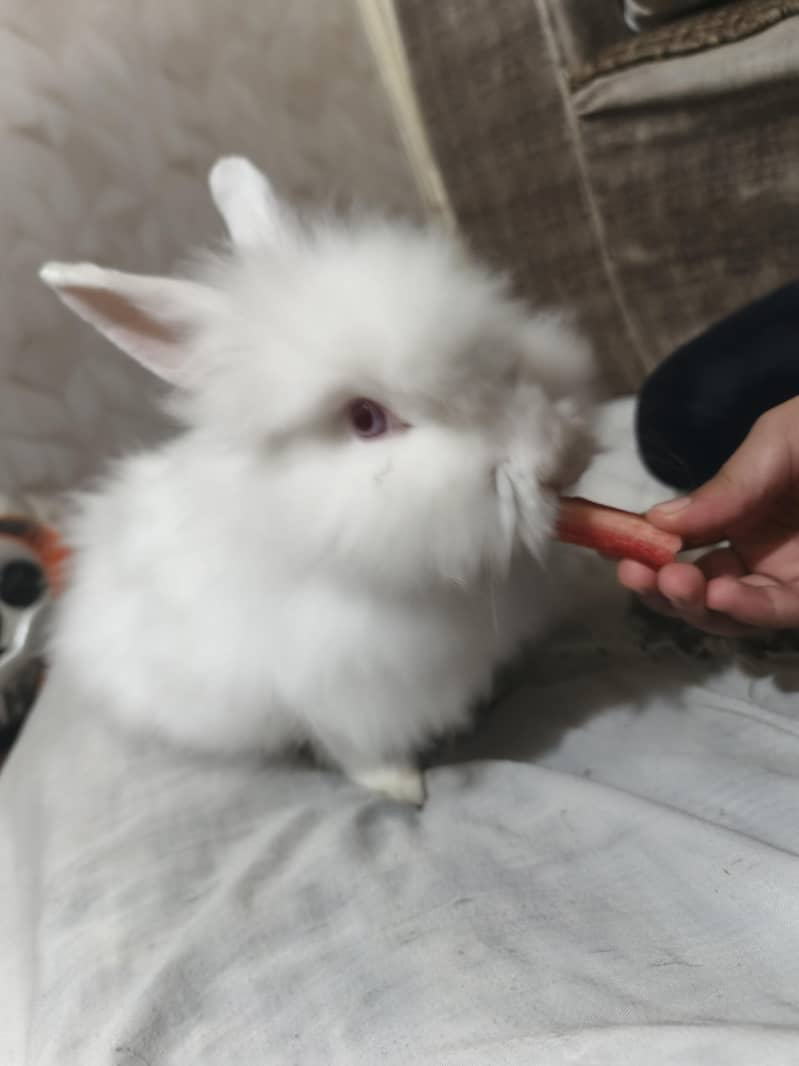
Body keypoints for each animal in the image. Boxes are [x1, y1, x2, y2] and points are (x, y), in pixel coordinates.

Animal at [40, 156, 596, 805]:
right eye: (365, 419)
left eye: (501, 348)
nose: (557, 459)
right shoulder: (338, 688)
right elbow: (358, 749)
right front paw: (401, 789)